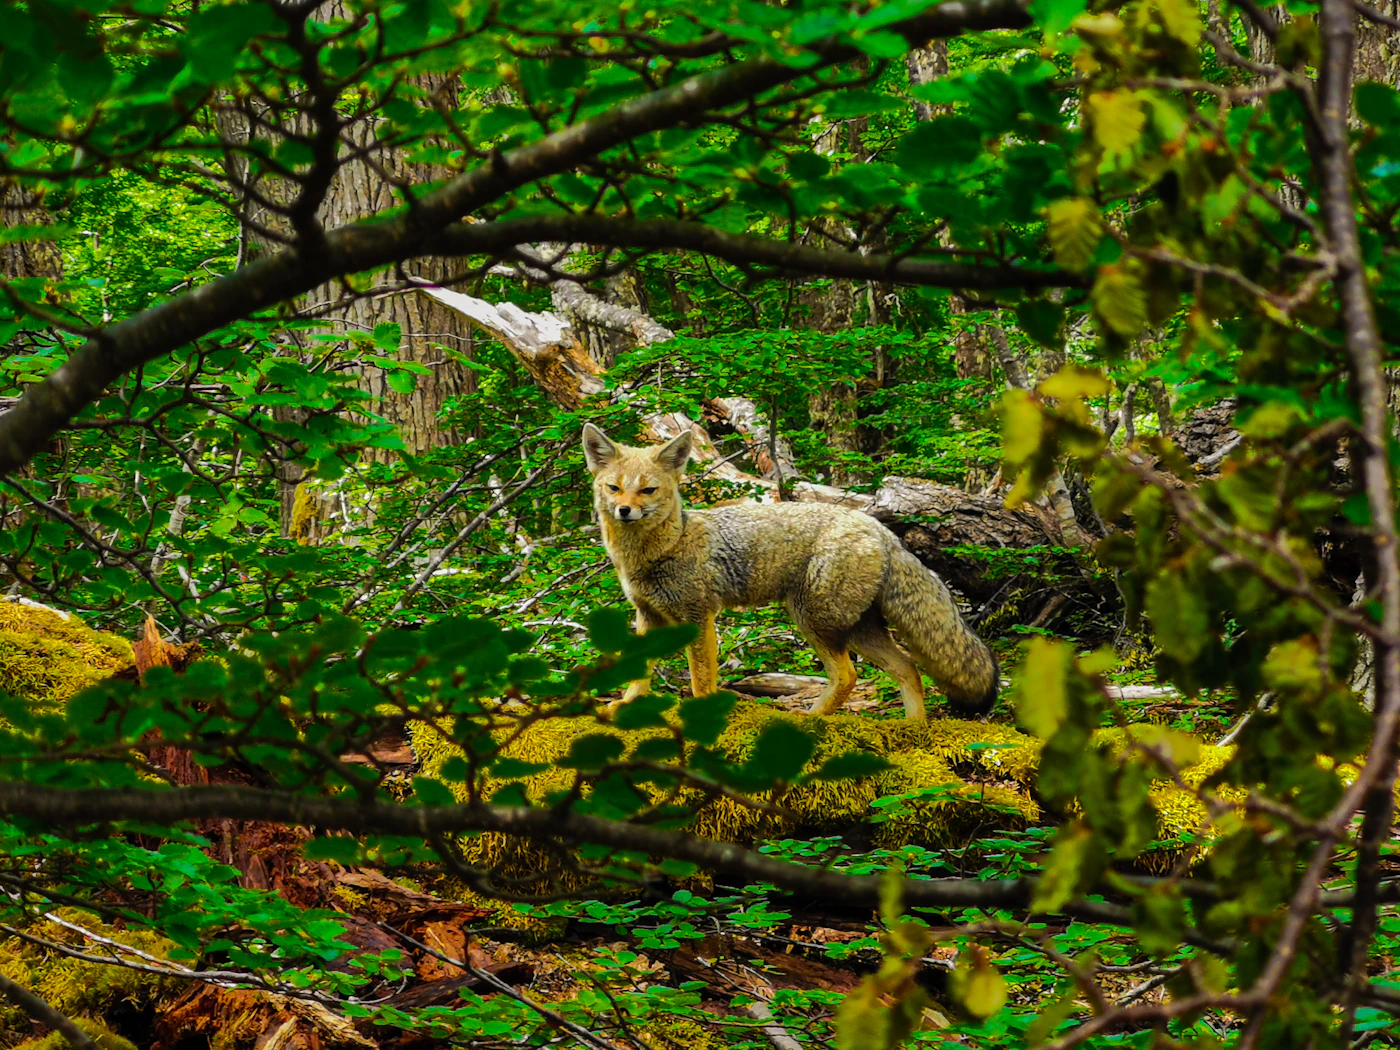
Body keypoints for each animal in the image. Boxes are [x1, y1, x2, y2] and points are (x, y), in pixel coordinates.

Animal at [581, 423, 999, 720]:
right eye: (614, 488)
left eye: (648, 491)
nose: (624, 511)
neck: (665, 547)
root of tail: (881, 531)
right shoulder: (647, 616)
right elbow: (638, 673)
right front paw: (626, 705)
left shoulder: (699, 617)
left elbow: (701, 681)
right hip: (856, 629)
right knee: (909, 669)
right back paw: (913, 728)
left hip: (813, 620)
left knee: (849, 676)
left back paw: (811, 718)